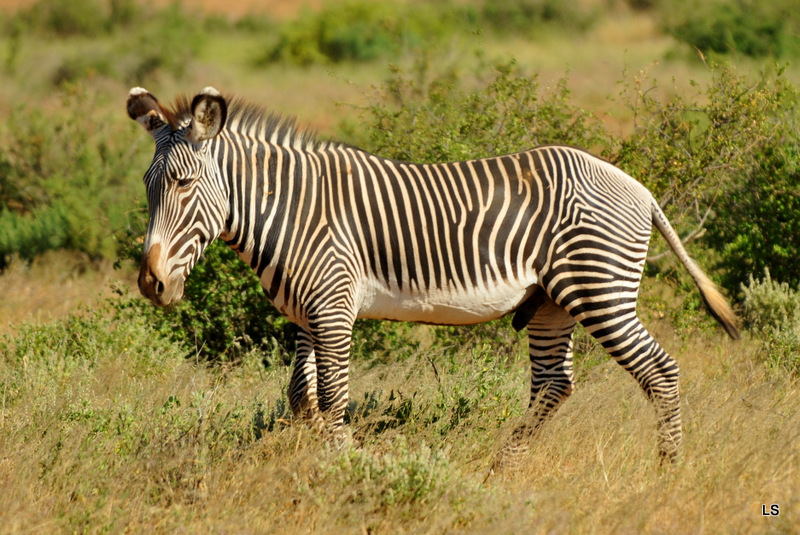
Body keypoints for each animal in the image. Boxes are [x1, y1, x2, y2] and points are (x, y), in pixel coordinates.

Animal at [126, 86, 744, 466]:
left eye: (182, 184)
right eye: (149, 186)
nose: (151, 284)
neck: (292, 209)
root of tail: (637, 187)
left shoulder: (333, 308)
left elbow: (333, 397)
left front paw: (343, 470)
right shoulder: (305, 314)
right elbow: (301, 397)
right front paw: (308, 461)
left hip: (600, 289)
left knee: (659, 371)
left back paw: (667, 469)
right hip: (551, 301)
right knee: (554, 382)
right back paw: (501, 468)